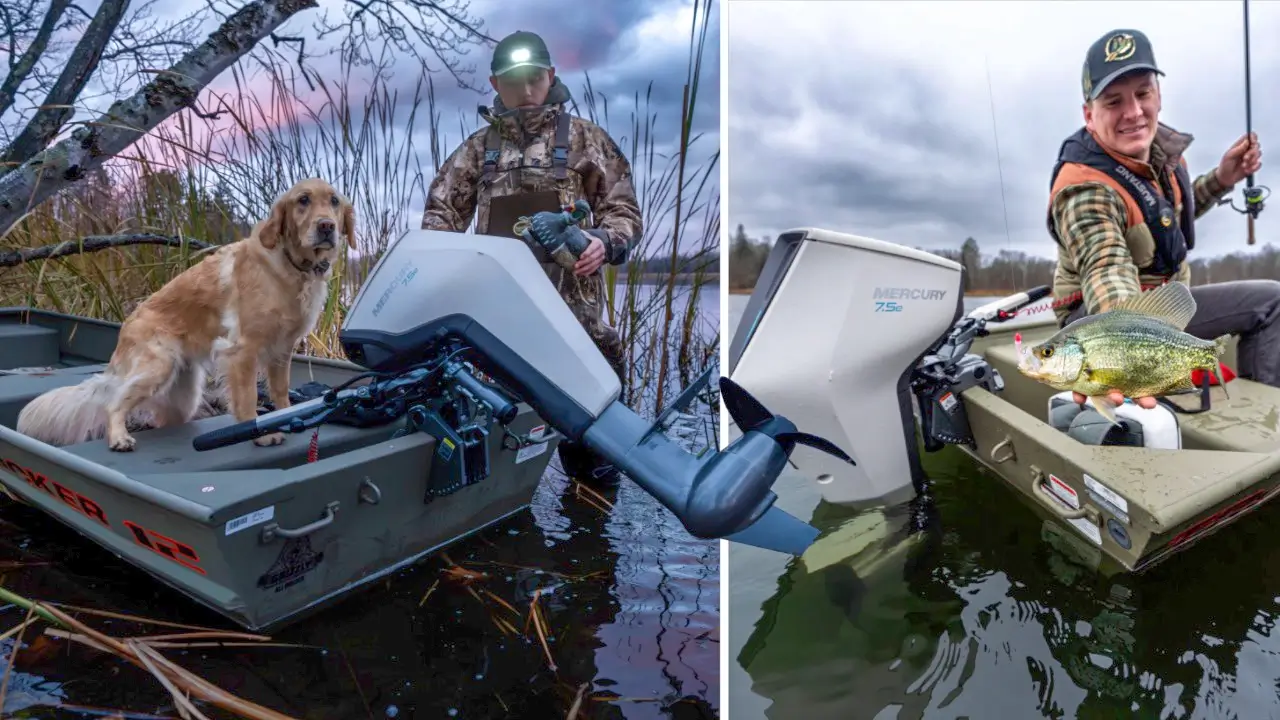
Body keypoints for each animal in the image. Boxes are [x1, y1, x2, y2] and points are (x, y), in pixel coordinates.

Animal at [20, 178, 358, 448]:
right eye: (303, 200)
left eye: (334, 201)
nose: (326, 226)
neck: (291, 266)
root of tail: (126, 326)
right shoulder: (243, 350)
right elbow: (248, 398)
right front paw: (262, 434)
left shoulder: (282, 351)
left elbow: (282, 394)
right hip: (157, 367)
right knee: (113, 404)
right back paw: (119, 437)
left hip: (181, 397)